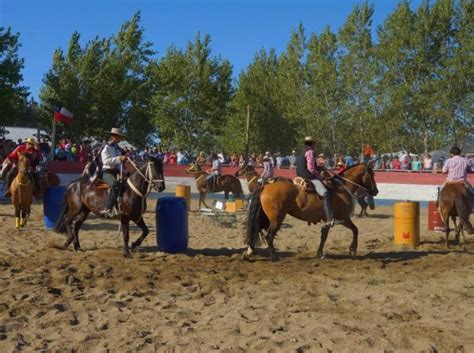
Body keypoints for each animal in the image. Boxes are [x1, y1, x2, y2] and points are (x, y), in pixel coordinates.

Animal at [244, 164, 378, 260]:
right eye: (371, 175)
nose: (376, 191)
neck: (342, 188)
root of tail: (264, 187)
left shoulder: (328, 221)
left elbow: (324, 236)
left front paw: (320, 253)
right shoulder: (344, 218)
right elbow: (355, 230)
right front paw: (353, 250)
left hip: (267, 218)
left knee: (256, 230)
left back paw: (249, 253)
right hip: (276, 219)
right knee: (269, 236)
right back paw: (274, 257)